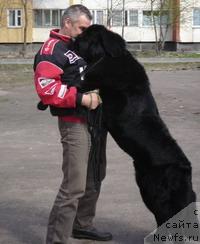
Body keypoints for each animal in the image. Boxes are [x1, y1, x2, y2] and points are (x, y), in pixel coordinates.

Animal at [73, 24, 195, 227]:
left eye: (85, 35)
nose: (73, 39)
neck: (107, 58)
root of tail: (186, 170)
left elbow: (78, 84)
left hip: (157, 194)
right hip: (146, 186)